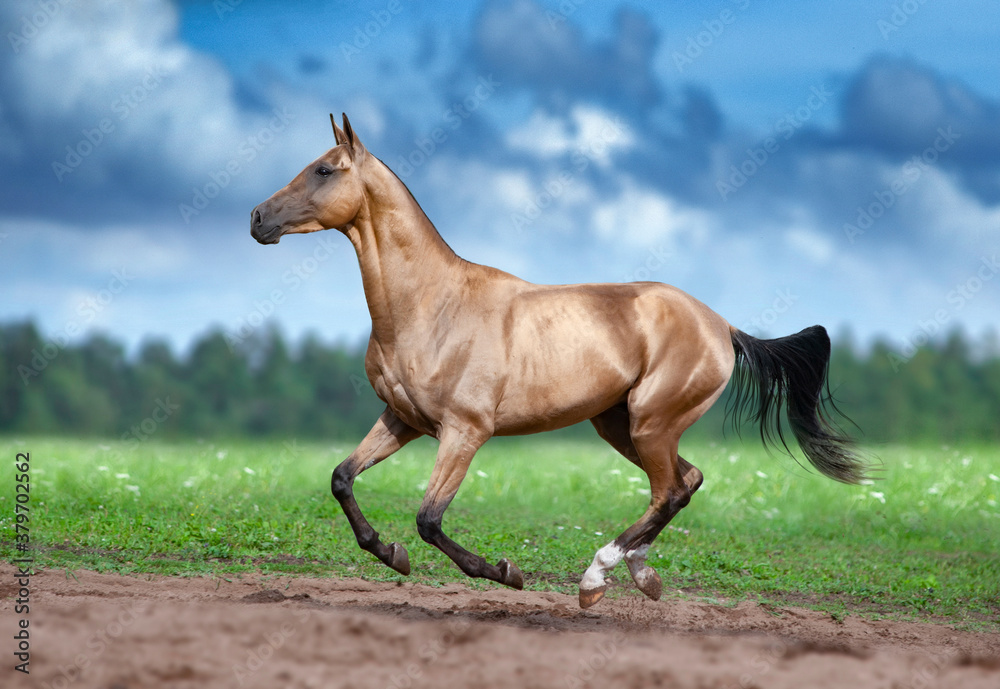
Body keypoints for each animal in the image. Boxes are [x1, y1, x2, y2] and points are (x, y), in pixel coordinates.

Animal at [251, 113, 867, 608]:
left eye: (324, 170)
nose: (258, 218)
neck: (432, 306)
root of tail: (723, 326)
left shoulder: (464, 431)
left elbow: (429, 519)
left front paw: (504, 572)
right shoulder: (403, 420)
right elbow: (342, 479)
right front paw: (388, 552)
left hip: (651, 422)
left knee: (669, 490)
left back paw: (596, 577)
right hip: (619, 425)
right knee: (685, 481)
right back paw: (640, 576)